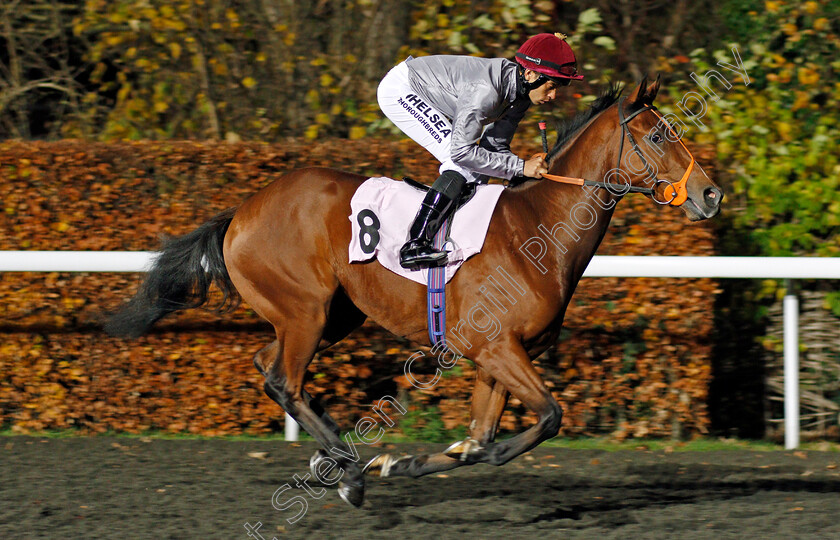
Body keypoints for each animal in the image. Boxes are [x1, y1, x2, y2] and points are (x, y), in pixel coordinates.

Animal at [105, 77, 720, 506]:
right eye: (659, 134)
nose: (710, 195)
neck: (536, 230)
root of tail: (242, 211)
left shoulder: (496, 356)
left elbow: (476, 440)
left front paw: (402, 464)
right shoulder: (496, 347)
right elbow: (546, 418)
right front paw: (392, 465)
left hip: (334, 315)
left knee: (267, 364)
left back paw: (334, 460)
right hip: (306, 311)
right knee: (284, 379)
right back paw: (348, 471)